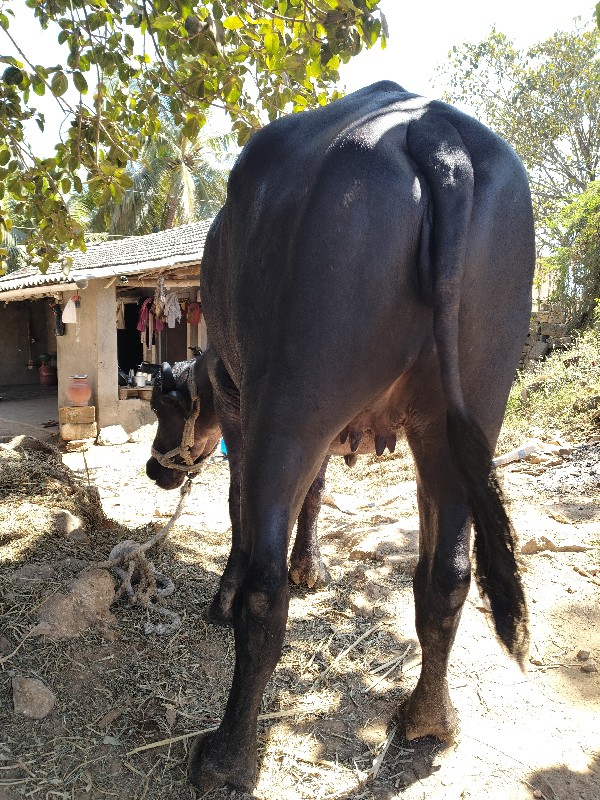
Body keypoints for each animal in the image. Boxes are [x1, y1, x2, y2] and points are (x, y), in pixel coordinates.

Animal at [177, 84, 536, 792]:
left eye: (166, 406)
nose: (158, 468)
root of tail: (431, 131)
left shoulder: (237, 408)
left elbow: (238, 508)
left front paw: (232, 590)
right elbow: (315, 496)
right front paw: (312, 567)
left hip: (292, 400)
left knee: (265, 592)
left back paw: (226, 756)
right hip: (466, 413)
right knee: (447, 574)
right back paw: (428, 719)